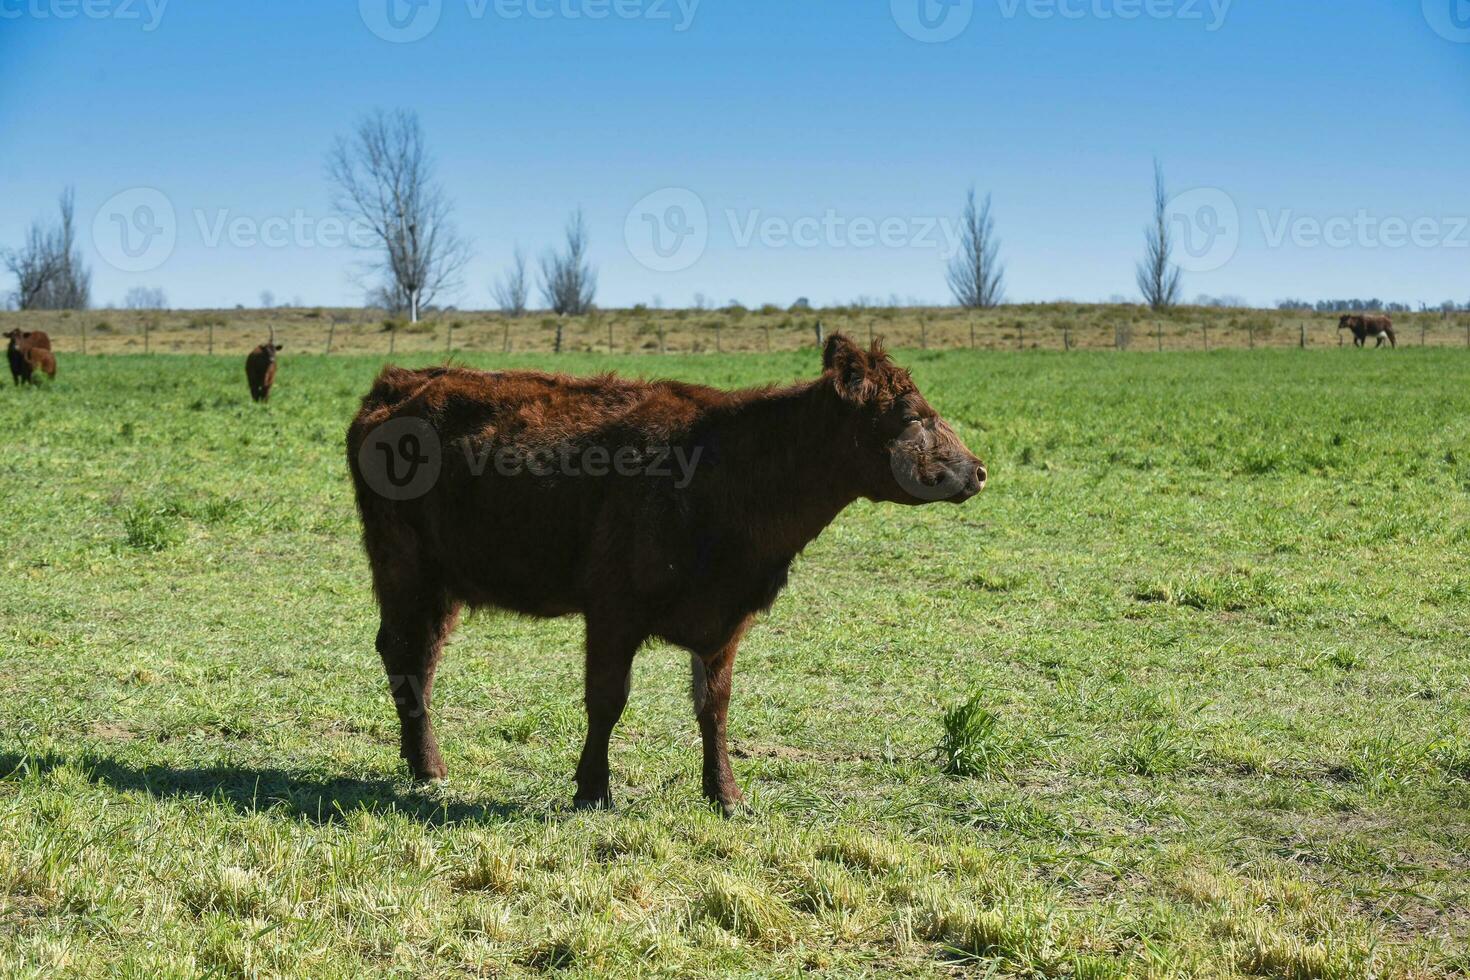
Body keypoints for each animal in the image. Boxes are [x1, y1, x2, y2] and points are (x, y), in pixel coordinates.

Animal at [345, 337, 987, 811]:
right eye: (912, 415)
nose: (979, 470)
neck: (728, 471)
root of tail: (400, 382)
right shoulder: (612, 610)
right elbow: (607, 699)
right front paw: (592, 789)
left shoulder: (725, 622)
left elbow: (715, 706)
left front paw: (725, 794)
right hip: (404, 566)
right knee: (404, 651)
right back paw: (427, 762)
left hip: (442, 582)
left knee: (423, 657)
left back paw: (423, 763)